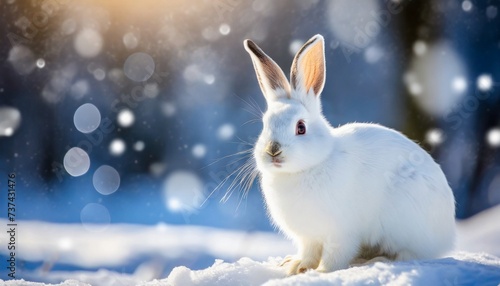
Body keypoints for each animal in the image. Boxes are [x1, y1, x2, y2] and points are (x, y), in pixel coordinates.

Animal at [243, 35, 458, 274]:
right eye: (265, 125)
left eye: (301, 127)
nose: (273, 150)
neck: (309, 167)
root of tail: (448, 235)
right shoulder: (308, 237)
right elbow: (309, 252)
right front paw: (297, 267)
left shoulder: (340, 232)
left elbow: (336, 255)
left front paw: (321, 272)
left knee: (409, 254)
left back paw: (379, 260)